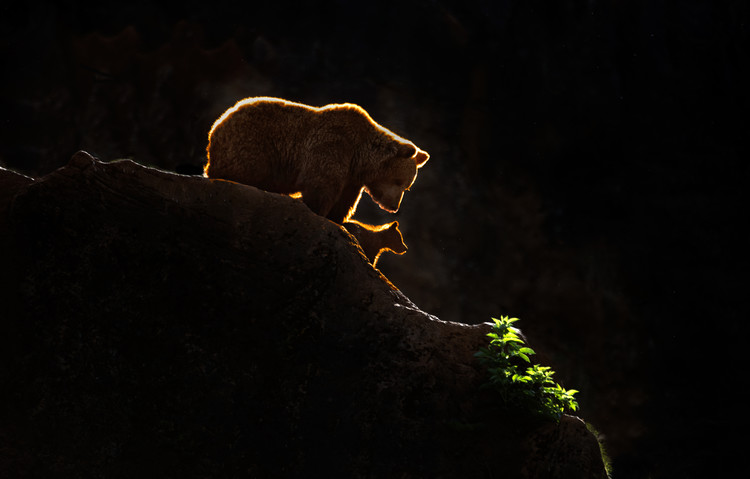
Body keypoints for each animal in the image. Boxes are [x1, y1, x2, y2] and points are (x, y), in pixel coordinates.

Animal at [205, 97, 429, 224]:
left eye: (407, 187)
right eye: (399, 182)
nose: (394, 206)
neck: (360, 158)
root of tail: (216, 126)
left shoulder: (352, 178)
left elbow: (345, 201)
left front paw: (337, 219)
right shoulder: (334, 145)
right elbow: (320, 183)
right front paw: (317, 210)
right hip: (251, 143)